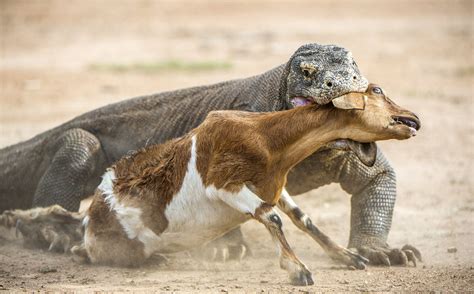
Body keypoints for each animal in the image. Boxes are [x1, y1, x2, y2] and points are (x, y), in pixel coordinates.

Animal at [73, 84, 418, 286]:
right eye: (377, 91)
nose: (412, 117)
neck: (266, 138)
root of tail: (91, 219)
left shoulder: (275, 187)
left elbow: (301, 218)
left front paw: (348, 257)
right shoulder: (224, 185)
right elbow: (271, 217)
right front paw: (298, 270)